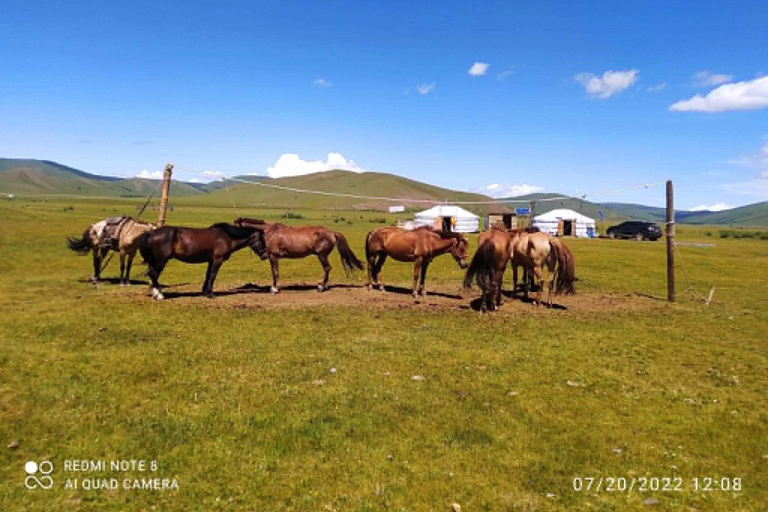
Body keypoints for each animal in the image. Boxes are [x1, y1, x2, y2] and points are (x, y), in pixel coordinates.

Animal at [137, 223, 267, 300]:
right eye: (261, 239)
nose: (265, 255)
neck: (227, 237)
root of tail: (151, 232)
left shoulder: (210, 260)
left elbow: (208, 275)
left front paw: (205, 292)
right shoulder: (217, 260)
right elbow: (213, 275)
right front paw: (211, 294)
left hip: (154, 261)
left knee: (152, 274)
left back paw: (156, 293)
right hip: (161, 261)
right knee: (153, 274)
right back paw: (159, 295)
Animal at [234, 217, 364, 293]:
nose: (262, 255)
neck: (269, 232)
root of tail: (332, 233)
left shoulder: (274, 256)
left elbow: (275, 272)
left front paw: (275, 288)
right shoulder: (272, 257)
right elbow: (274, 272)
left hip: (322, 255)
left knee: (327, 268)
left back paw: (321, 286)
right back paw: (324, 286)